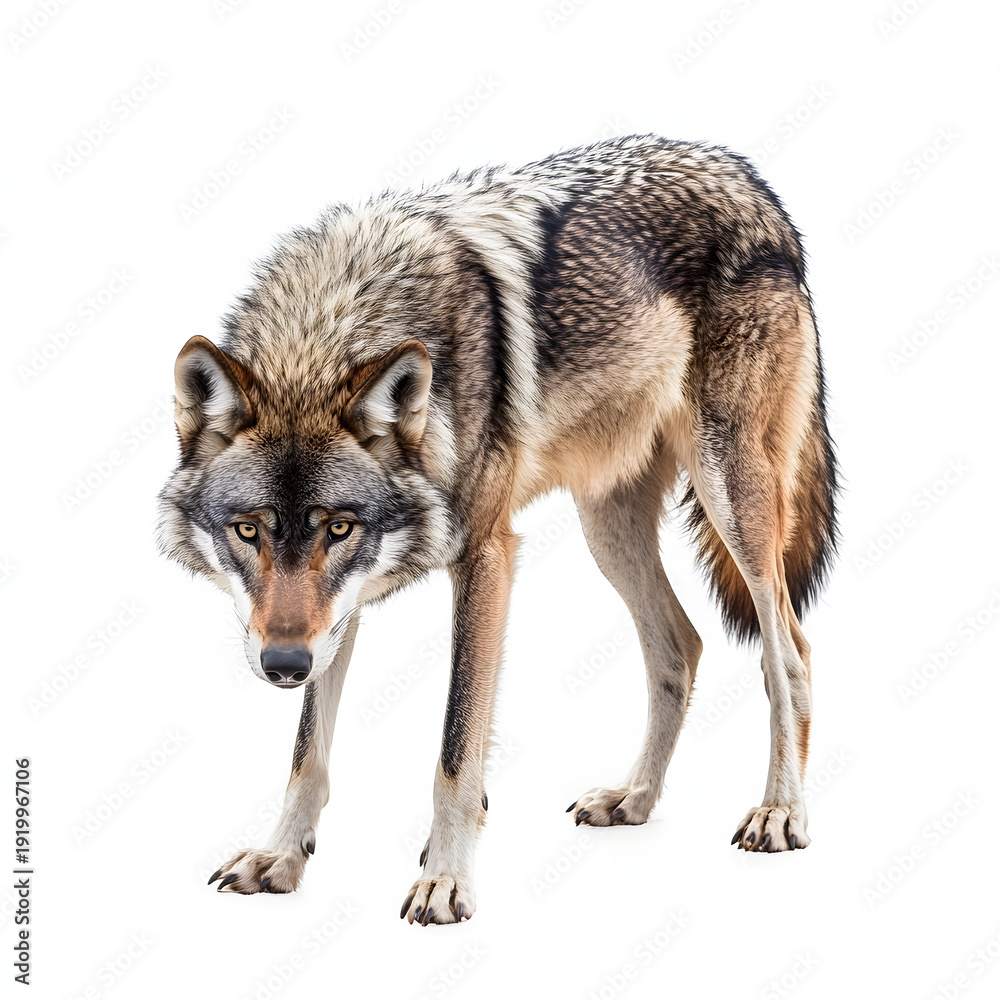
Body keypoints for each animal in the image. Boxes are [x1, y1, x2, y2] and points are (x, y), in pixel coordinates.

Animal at [157, 134, 838, 925]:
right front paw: (280, 858)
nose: (283, 666)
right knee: (681, 645)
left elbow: (456, 748)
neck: (337, 322)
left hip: (735, 500)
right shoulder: (333, 613)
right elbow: (306, 751)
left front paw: (446, 880)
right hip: (606, 527)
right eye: (247, 531)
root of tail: (747, 174)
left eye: (339, 528)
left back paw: (781, 812)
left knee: (789, 653)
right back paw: (634, 799)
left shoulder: (485, 556)